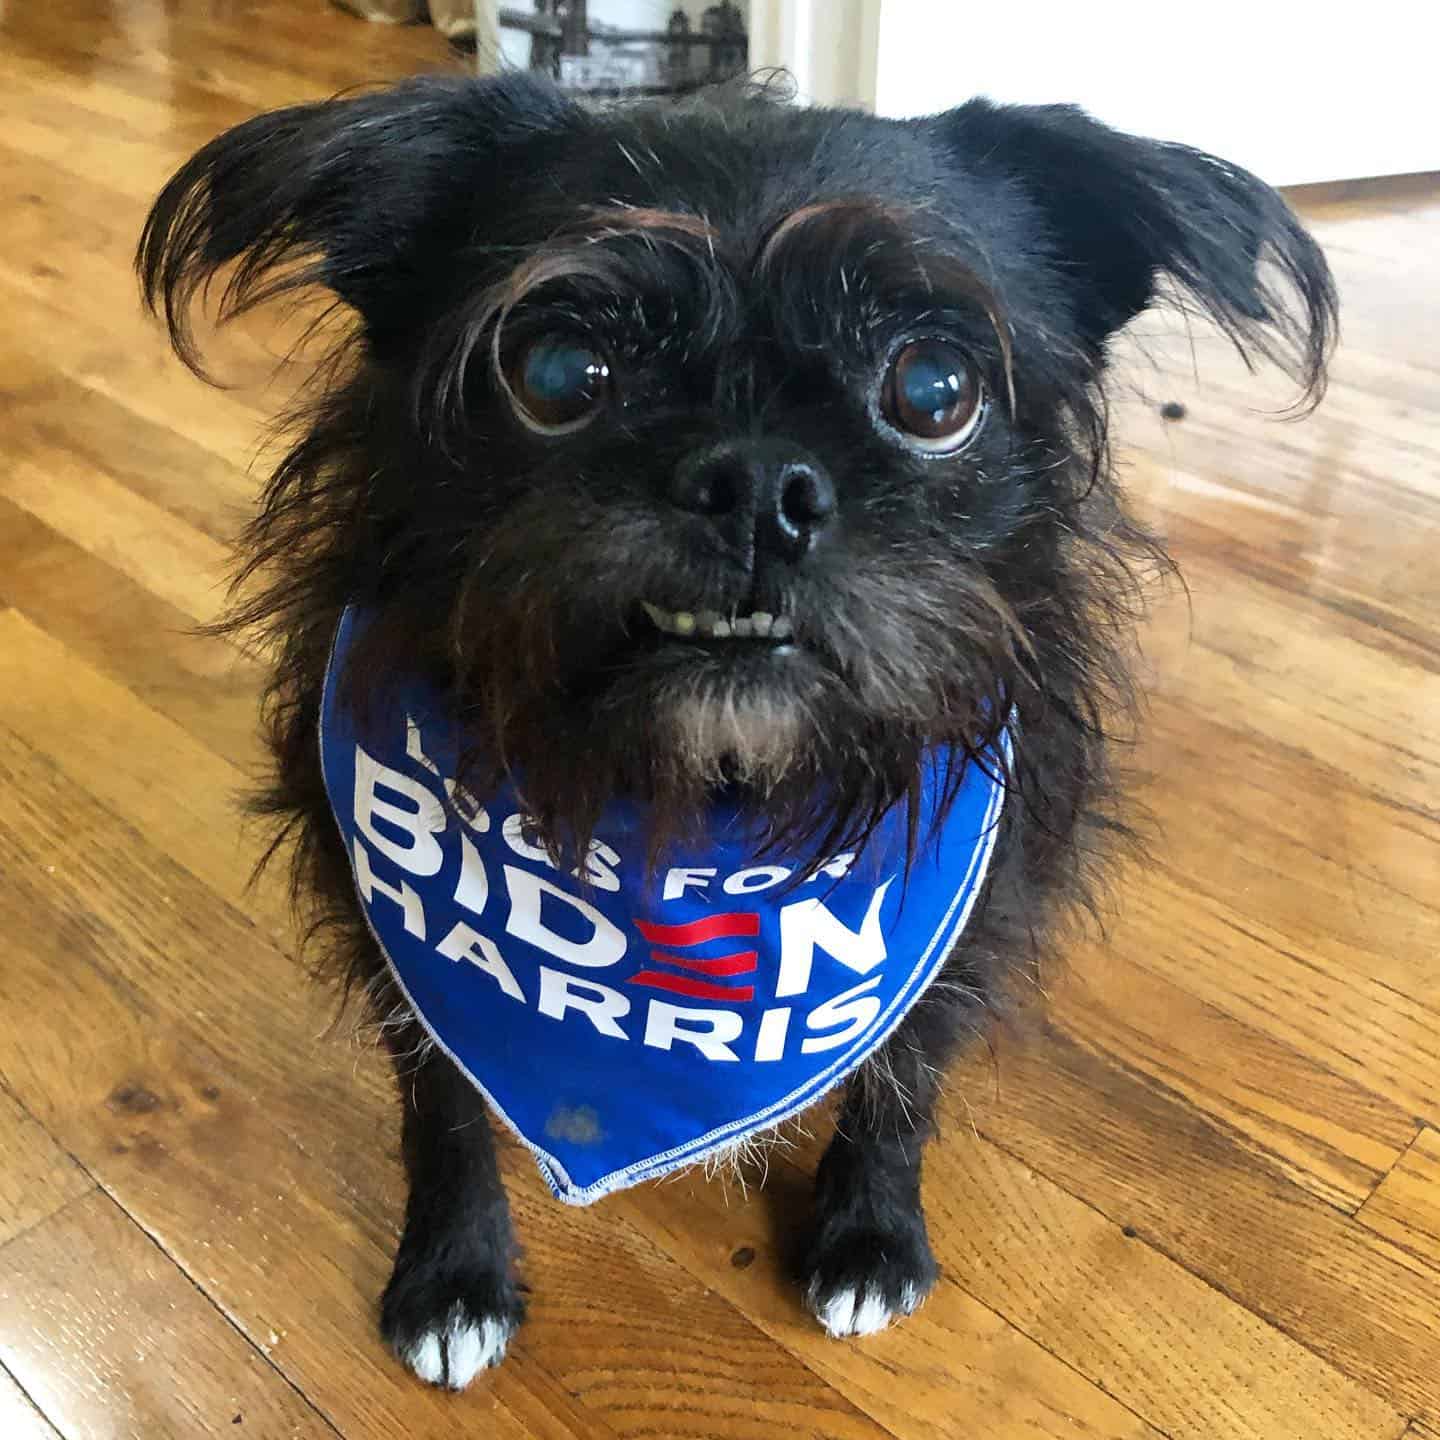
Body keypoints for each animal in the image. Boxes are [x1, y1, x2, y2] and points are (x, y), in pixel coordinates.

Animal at [137, 75, 1336, 1382]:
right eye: (559, 369)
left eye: (935, 392)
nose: (759, 484)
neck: (702, 809)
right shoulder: (386, 924)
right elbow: (440, 1101)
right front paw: (453, 1271)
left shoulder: (973, 904)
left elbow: (907, 1070)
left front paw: (870, 1230)